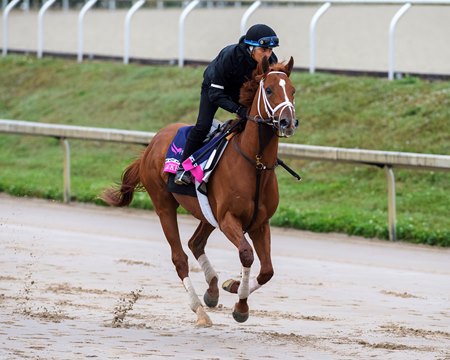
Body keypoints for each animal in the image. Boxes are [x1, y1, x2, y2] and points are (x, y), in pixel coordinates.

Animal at [102, 55, 298, 326]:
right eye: (268, 90)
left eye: (293, 90)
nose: (288, 122)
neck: (255, 165)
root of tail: (152, 143)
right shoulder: (228, 219)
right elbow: (247, 254)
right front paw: (240, 306)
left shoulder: (259, 222)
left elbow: (267, 270)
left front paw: (233, 287)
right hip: (164, 205)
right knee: (180, 258)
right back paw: (200, 310)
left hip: (207, 213)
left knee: (195, 243)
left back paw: (213, 289)